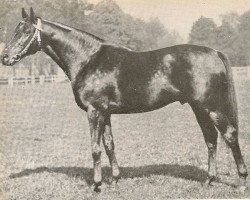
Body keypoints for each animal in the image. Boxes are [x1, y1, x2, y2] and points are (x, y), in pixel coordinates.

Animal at [1, 7, 248, 192]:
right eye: (16, 30)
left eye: (25, 31)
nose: (5, 57)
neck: (88, 59)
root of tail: (215, 52)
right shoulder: (106, 112)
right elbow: (110, 145)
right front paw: (115, 179)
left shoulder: (94, 111)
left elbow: (95, 148)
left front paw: (97, 185)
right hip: (199, 108)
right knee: (211, 139)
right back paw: (209, 180)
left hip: (212, 107)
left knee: (229, 135)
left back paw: (241, 182)